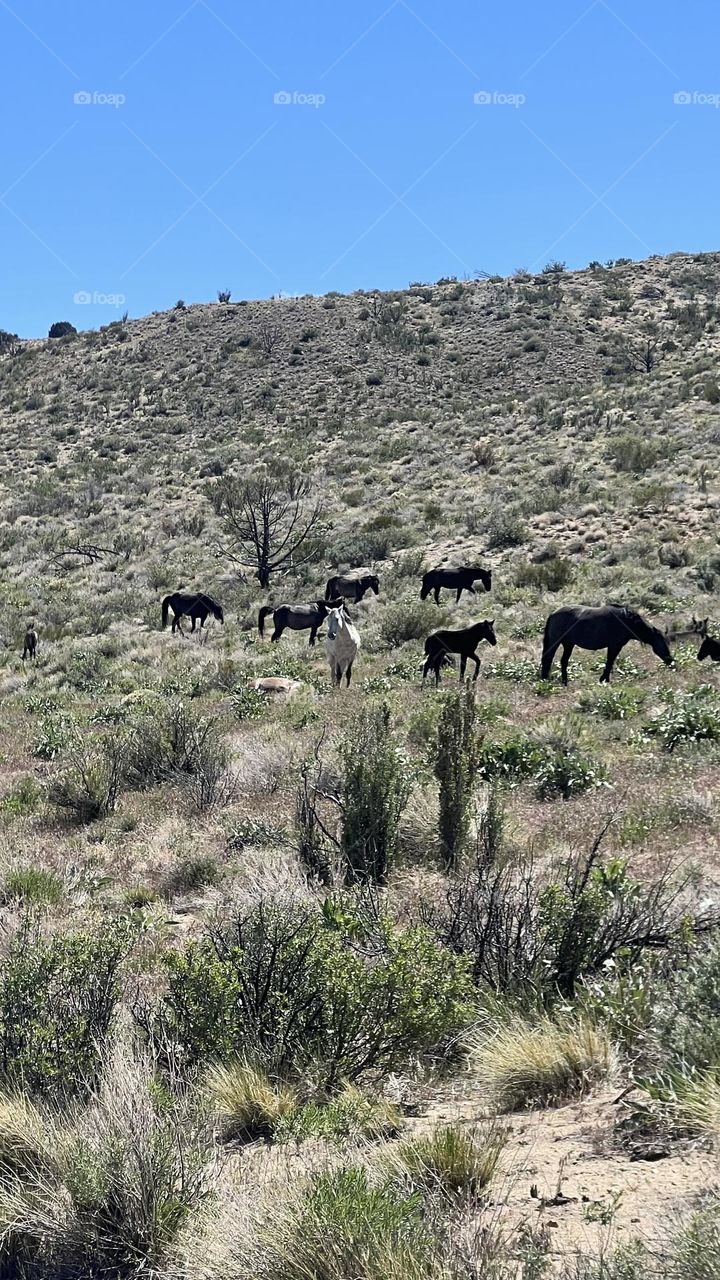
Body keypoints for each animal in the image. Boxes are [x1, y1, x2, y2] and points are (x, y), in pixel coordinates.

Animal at [538, 604, 671, 686]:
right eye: (663, 643)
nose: (670, 660)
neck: (626, 621)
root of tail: (553, 613)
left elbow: (610, 662)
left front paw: (604, 679)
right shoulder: (614, 646)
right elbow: (609, 662)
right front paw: (604, 680)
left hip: (568, 644)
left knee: (563, 661)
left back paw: (565, 682)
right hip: (556, 642)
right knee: (548, 658)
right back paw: (545, 679)